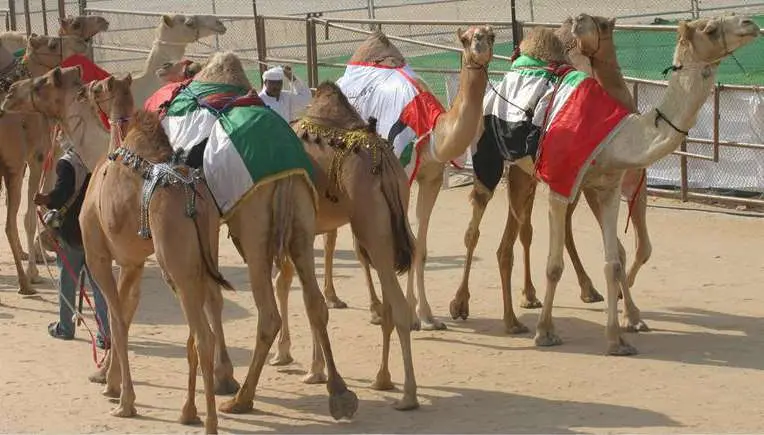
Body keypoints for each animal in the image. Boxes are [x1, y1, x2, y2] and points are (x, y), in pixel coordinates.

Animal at [2, 67, 236, 432]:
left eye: (42, 82)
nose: (10, 93)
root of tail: (194, 201)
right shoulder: (132, 262)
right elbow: (121, 316)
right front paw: (108, 379)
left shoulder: (99, 255)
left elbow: (115, 320)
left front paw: (124, 400)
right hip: (204, 250)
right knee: (211, 307)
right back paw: (194, 406)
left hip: (176, 262)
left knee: (202, 335)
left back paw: (207, 419)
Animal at [268, 81, 418, 408]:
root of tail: (385, 168)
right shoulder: (308, 228)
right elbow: (293, 288)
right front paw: (300, 361)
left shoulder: (296, 224)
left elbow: (294, 291)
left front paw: (307, 367)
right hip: (393, 219)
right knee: (395, 290)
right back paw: (382, 379)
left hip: (370, 225)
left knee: (397, 304)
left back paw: (408, 396)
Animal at [320, 25, 496, 330]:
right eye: (466, 38)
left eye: (491, 34)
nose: (480, 44)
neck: (432, 131)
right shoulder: (402, 175)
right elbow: (407, 244)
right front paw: (412, 317)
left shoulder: (432, 178)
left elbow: (421, 248)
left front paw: (427, 316)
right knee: (355, 243)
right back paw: (372, 309)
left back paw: (335, 298)